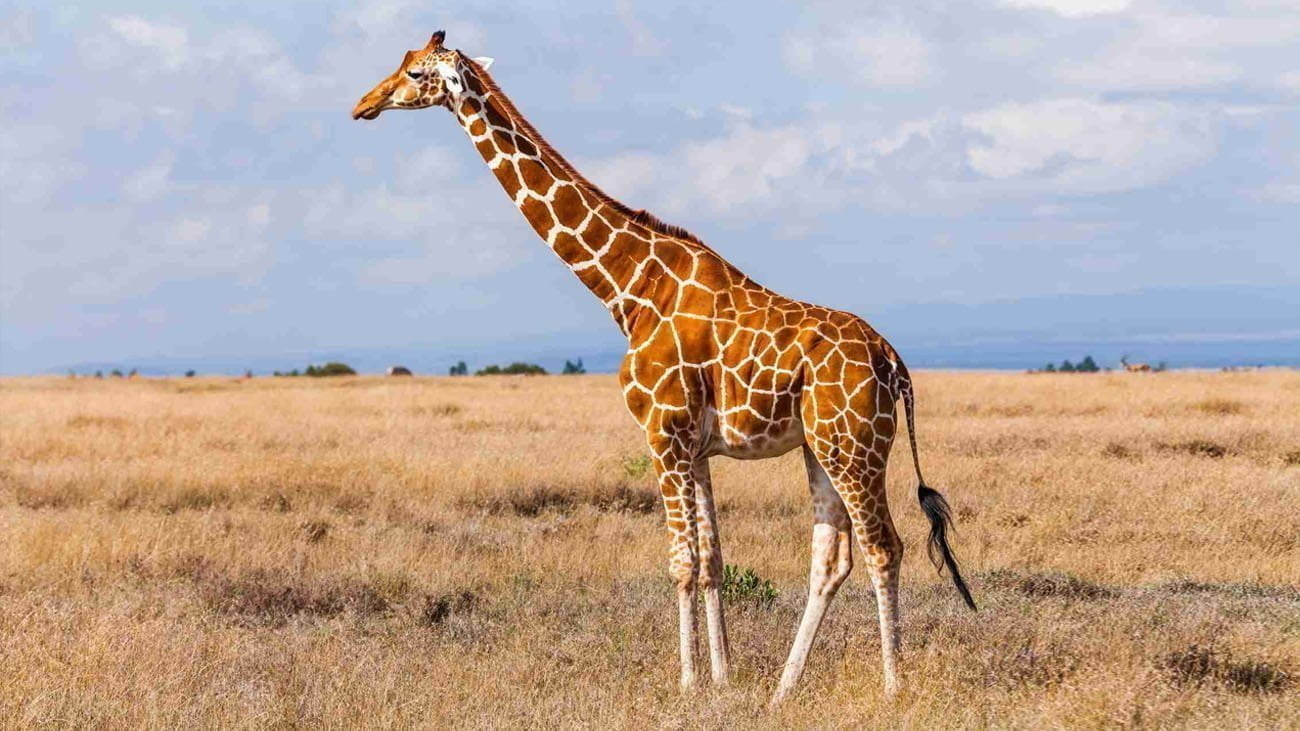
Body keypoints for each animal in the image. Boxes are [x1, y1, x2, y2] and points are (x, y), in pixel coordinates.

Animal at [353, 31, 977, 702]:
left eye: (416, 73)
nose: (364, 104)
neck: (626, 287)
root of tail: (896, 364)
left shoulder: (662, 433)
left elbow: (681, 563)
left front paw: (686, 683)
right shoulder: (696, 447)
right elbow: (712, 563)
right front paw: (724, 679)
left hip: (854, 446)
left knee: (885, 546)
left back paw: (892, 685)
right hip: (821, 446)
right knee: (832, 559)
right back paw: (783, 689)